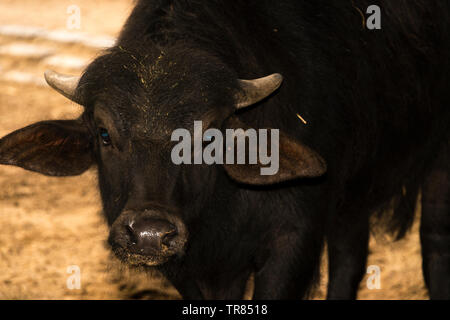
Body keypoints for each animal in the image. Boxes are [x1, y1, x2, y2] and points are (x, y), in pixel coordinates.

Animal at [0, 0, 450, 300]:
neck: (224, 205)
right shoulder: (194, 265)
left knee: (433, 242)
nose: (148, 235)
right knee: (351, 253)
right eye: (104, 134)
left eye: (209, 137)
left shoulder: (293, 239)